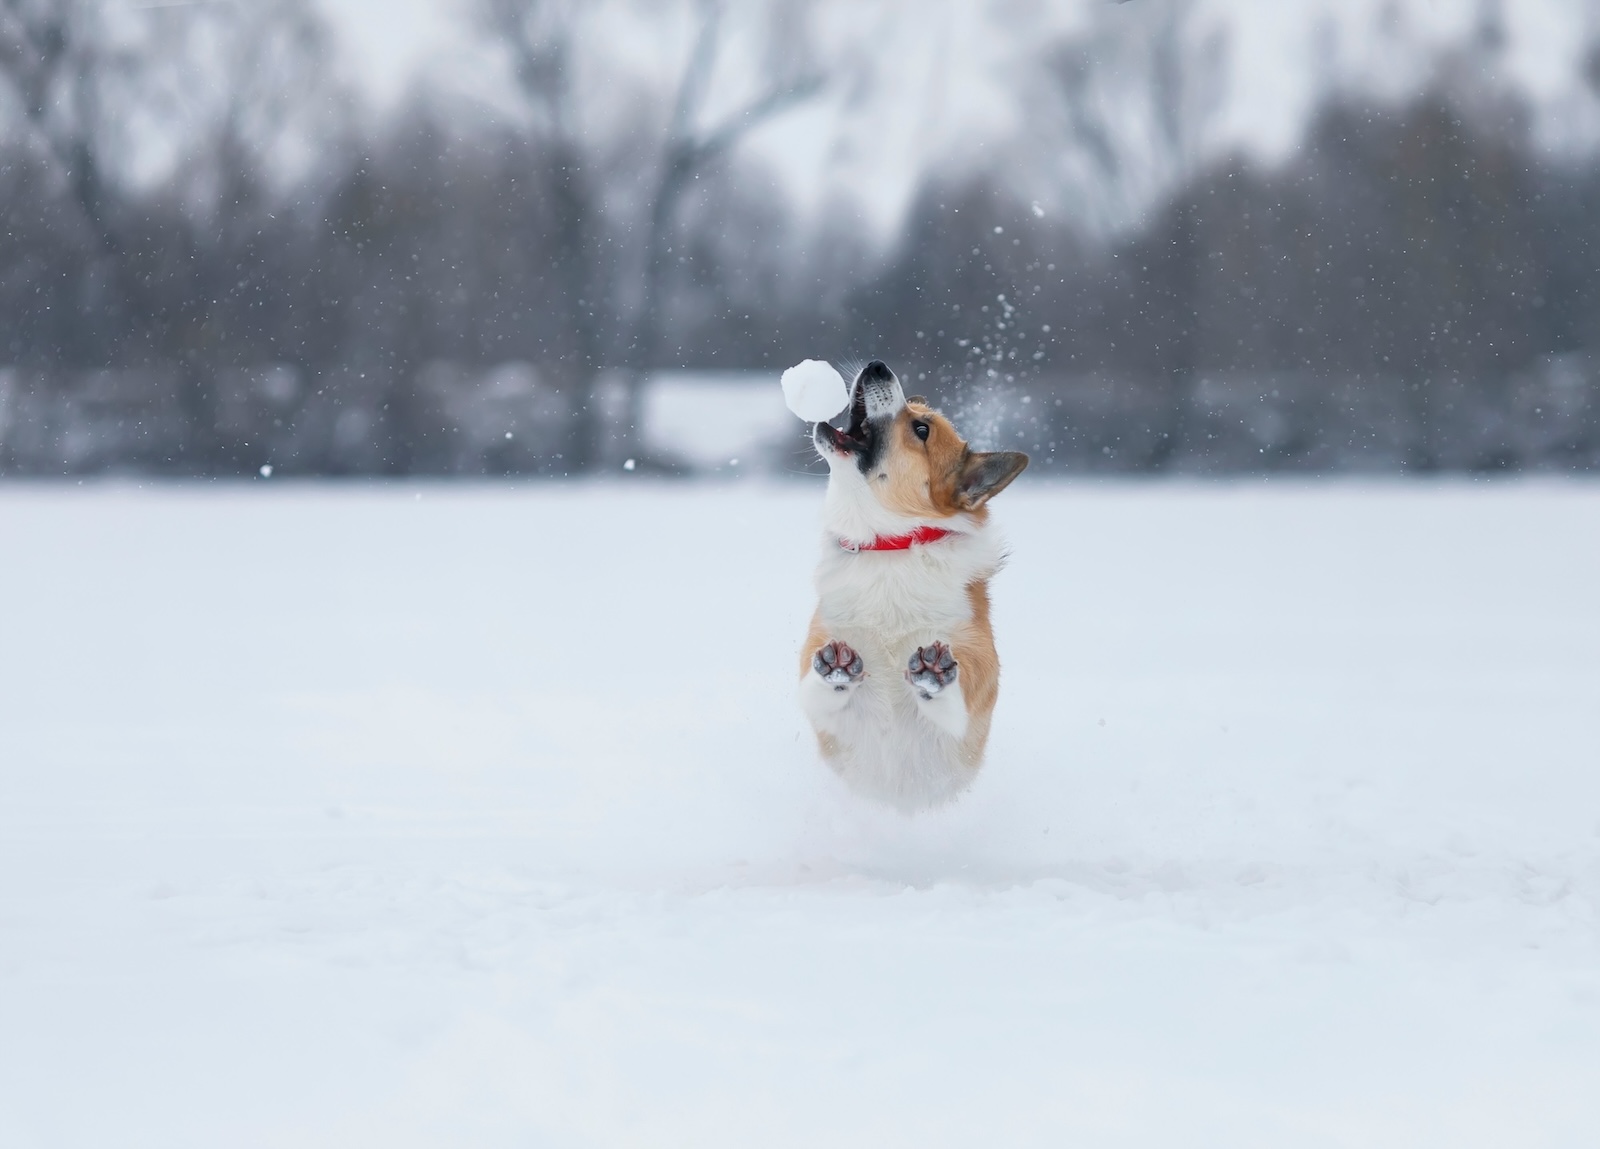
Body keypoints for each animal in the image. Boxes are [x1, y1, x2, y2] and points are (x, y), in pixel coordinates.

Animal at [796, 360, 1024, 809]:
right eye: (918, 417)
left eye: (921, 430)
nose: (877, 365)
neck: (890, 547)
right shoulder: (820, 650)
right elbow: (814, 688)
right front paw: (836, 670)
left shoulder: (975, 671)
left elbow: (959, 696)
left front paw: (934, 675)